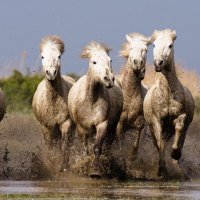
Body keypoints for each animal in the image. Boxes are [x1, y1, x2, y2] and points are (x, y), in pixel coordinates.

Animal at [32, 34, 74, 172]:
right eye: (42, 56)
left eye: (59, 56)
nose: (51, 73)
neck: (53, 102)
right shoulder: (46, 126)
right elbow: (50, 146)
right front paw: (51, 165)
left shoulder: (66, 123)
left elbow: (65, 144)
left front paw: (64, 166)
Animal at [68, 40, 122, 177]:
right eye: (94, 62)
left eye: (110, 60)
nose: (109, 79)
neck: (91, 101)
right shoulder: (81, 128)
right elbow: (85, 149)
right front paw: (84, 165)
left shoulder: (102, 124)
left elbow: (97, 148)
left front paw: (95, 170)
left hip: (112, 127)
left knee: (108, 145)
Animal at [116, 32, 151, 171]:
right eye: (131, 48)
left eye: (145, 50)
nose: (138, 64)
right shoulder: (120, 121)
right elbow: (119, 137)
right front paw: (121, 159)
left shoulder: (138, 121)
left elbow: (138, 132)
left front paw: (132, 157)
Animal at [143, 29, 195, 177]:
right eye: (154, 45)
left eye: (170, 45)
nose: (158, 63)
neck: (167, 95)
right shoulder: (157, 120)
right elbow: (160, 144)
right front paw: (161, 169)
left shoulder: (180, 117)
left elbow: (177, 137)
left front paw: (175, 154)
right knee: (159, 143)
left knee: (179, 139)